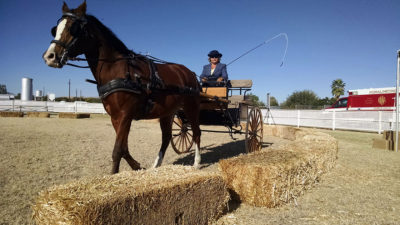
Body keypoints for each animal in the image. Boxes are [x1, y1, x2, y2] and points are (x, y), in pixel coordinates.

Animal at [42, 1, 202, 173]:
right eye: (55, 29)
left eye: (74, 27)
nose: (49, 56)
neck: (117, 69)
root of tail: (189, 72)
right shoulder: (115, 117)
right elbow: (124, 148)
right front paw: (137, 166)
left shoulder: (125, 115)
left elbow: (117, 150)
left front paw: (114, 174)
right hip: (167, 112)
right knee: (166, 138)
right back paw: (156, 165)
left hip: (191, 108)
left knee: (196, 133)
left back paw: (196, 163)